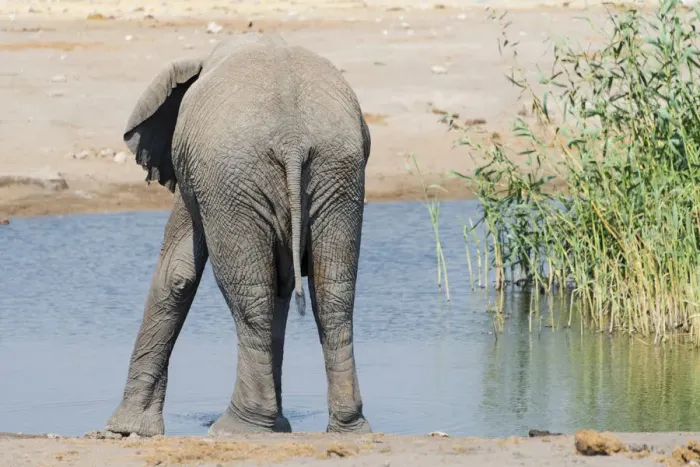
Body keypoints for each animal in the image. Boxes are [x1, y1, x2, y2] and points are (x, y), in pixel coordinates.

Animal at [104, 32, 372, 437]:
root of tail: (293, 137)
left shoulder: (199, 179)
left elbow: (176, 273)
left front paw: (124, 431)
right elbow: (282, 283)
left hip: (234, 178)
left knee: (251, 295)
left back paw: (237, 426)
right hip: (338, 174)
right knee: (333, 293)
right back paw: (347, 429)